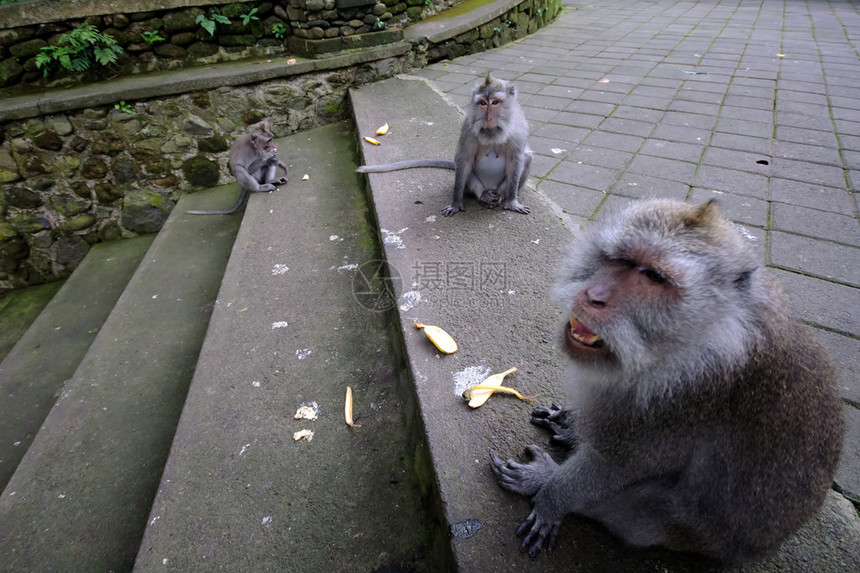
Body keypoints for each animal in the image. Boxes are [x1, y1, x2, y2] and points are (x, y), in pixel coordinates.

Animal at [354, 72, 532, 214]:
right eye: (483, 103)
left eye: (495, 102)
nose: (487, 119)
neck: (492, 133)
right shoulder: (468, 128)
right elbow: (464, 160)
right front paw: (456, 203)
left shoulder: (519, 129)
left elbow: (516, 158)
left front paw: (512, 201)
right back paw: (483, 195)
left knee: (527, 158)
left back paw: (501, 195)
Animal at [494, 199, 844, 560]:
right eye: (620, 260)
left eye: (653, 277)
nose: (593, 295)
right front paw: (569, 420)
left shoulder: (682, 402)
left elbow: (615, 466)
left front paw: (551, 497)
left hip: (688, 533)